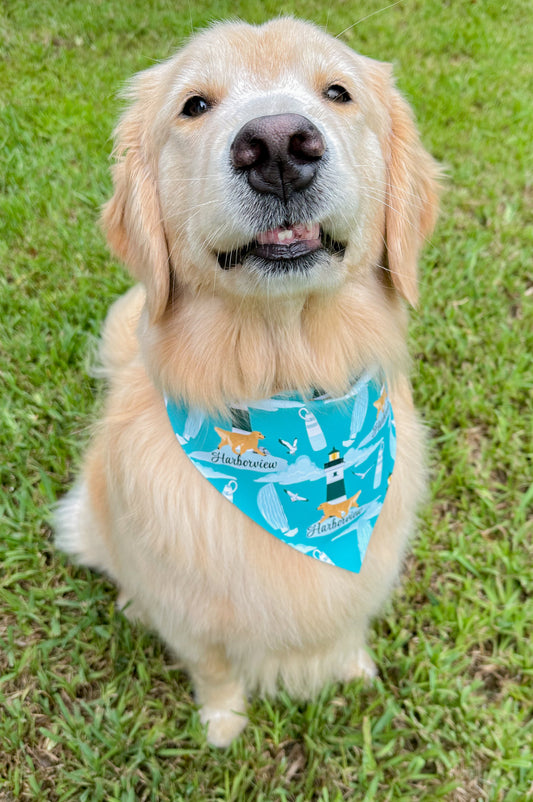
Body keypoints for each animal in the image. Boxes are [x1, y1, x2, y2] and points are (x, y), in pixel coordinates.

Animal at [56, 18, 438, 744]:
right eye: (194, 105)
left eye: (338, 91)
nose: (280, 146)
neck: (282, 379)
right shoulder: (191, 614)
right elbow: (214, 669)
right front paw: (223, 725)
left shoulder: (362, 572)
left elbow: (347, 627)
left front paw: (352, 669)